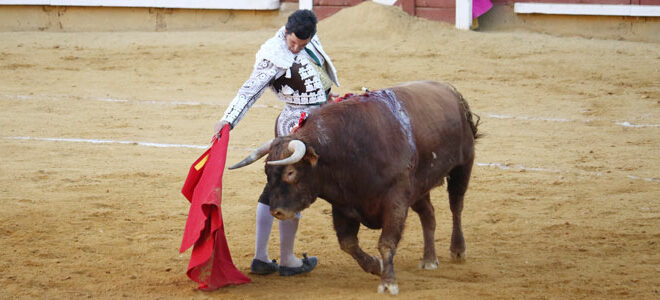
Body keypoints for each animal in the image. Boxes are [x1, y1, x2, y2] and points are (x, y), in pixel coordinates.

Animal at [231, 81, 480, 294]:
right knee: (429, 215)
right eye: (267, 172)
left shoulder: (396, 200)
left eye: (291, 172)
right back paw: (429, 259)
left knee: (456, 206)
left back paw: (458, 250)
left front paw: (388, 283)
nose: (277, 211)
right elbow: (348, 244)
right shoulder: (343, 206)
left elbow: (386, 243)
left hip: (463, 166)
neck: (348, 149)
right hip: (420, 186)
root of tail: (451, 91)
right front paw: (377, 266)